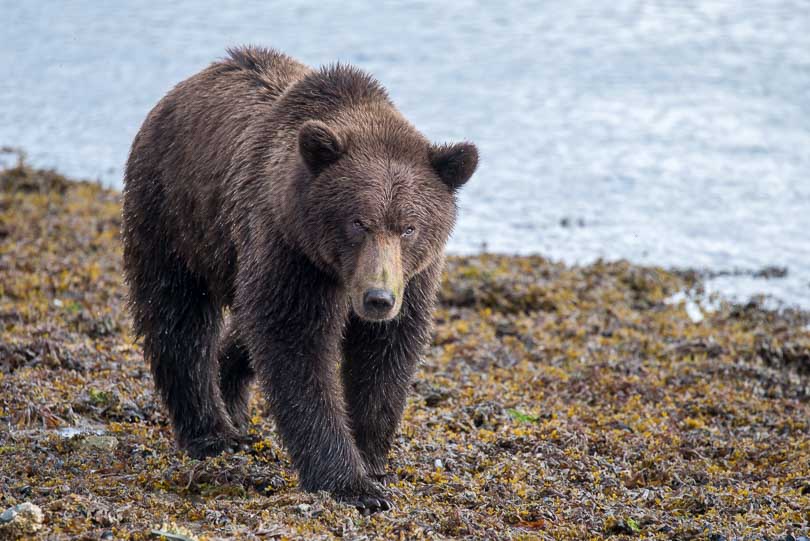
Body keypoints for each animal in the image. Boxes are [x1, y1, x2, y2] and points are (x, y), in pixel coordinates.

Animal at [123, 45, 476, 510]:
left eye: (409, 227)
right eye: (358, 222)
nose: (377, 298)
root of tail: (184, 87)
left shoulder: (411, 279)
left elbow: (385, 355)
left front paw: (371, 458)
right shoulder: (290, 253)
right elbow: (296, 348)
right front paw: (352, 484)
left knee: (237, 329)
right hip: (174, 215)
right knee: (178, 321)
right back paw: (212, 433)